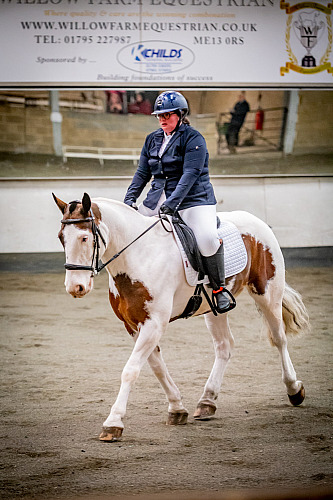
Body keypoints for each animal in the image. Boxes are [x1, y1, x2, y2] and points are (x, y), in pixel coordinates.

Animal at [52, 191, 308, 442]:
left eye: (84, 238)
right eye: (61, 237)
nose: (75, 287)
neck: (138, 255)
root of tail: (256, 221)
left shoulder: (154, 323)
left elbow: (131, 370)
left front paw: (113, 423)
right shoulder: (133, 325)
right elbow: (157, 367)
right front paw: (177, 409)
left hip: (268, 294)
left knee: (279, 339)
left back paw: (294, 390)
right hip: (213, 309)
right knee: (224, 346)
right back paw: (207, 401)